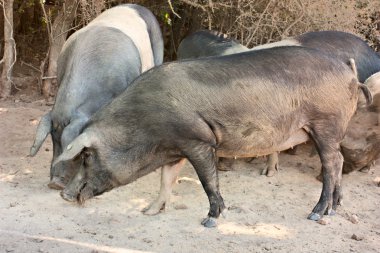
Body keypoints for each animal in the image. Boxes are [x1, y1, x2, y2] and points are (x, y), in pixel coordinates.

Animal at [54, 47, 372, 227]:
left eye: (86, 155)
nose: (64, 194)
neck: (146, 125)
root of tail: (348, 69)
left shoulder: (198, 141)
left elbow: (208, 180)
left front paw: (210, 219)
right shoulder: (175, 148)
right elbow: (165, 180)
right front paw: (149, 212)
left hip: (326, 124)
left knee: (331, 164)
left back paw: (316, 214)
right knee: (338, 162)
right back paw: (334, 210)